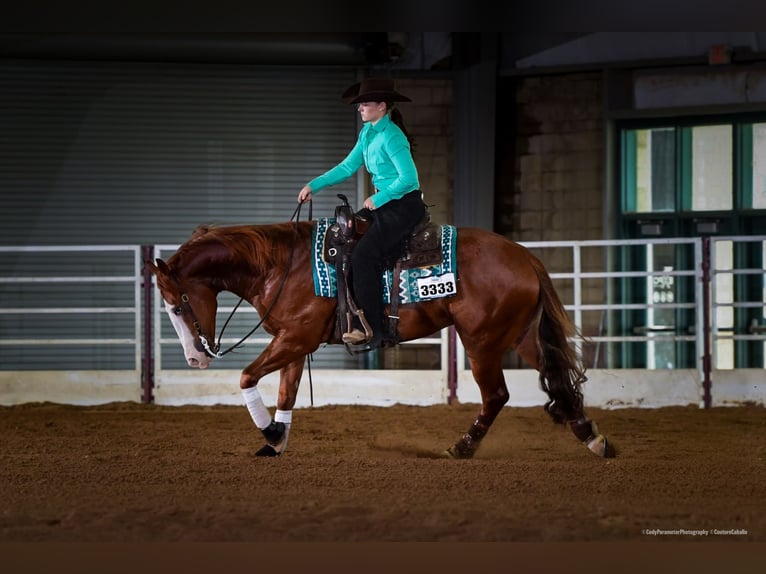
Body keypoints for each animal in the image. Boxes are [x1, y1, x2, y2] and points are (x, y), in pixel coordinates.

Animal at [147, 213, 615, 460]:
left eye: (177, 304)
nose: (195, 359)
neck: (280, 264)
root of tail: (524, 256)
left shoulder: (294, 339)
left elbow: (246, 376)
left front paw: (270, 435)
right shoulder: (294, 343)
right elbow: (285, 394)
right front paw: (276, 440)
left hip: (481, 341)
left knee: (497, 394)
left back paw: (463, 447)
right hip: (520, 336)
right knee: (557, 378)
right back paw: (593, 438)